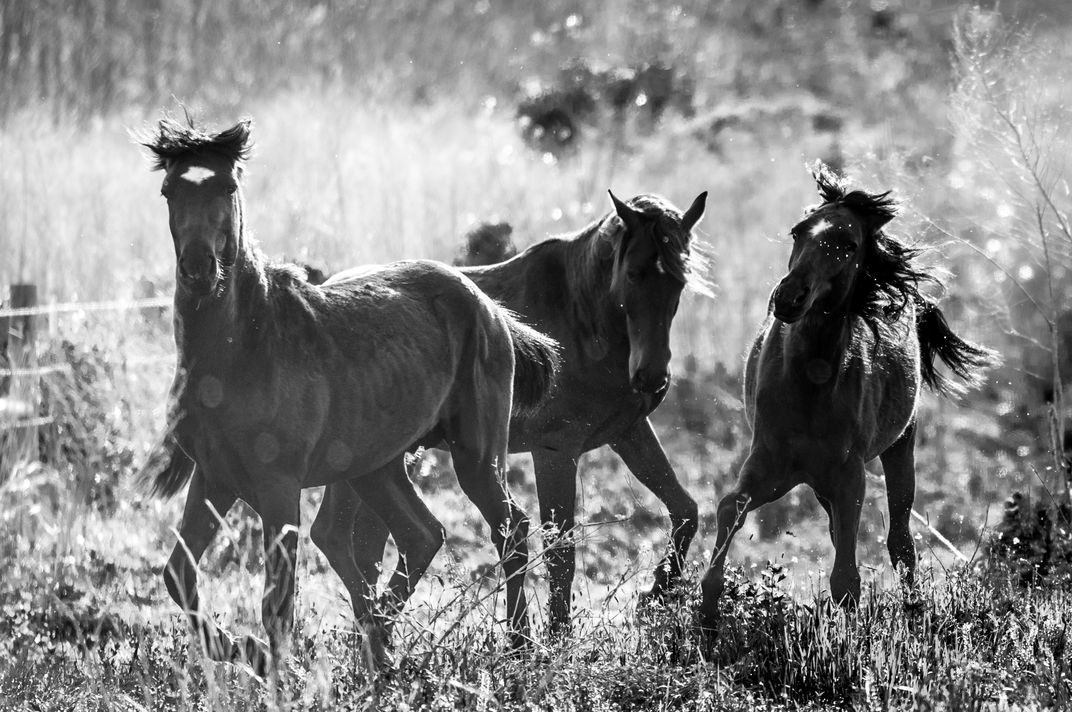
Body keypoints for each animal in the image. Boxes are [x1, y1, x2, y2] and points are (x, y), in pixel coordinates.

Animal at [141, 117, 557, 673]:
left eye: (228, 187)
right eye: (169, 190)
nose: (198, 268)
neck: (243, 350)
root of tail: (489, 307)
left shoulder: (277, 487)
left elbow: (277, 604)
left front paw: (274, 666)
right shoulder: (213, 478)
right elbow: (179, 576)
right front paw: (246, 651)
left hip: (475, 455)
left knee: (509, 527)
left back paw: (514, 644)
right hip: (377, 466)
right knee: (421, 535)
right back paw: (381, 648)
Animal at [317, 190, 707, 634]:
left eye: (678, 280)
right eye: (633, 274)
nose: (651, 377)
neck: (581, 317)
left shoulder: (629, 433)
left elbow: (685, 510)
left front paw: (657, 592)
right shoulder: (555, 452)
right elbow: (560, 550)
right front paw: (557, 634)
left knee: (363, 543)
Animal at [694, 167, 994, 630]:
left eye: (849, 245)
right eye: (798, 231)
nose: (789, 297)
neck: (808, 387)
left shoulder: (848, 475)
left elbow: (847, 573)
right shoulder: (769, 464)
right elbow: (731, 507)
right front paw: (707, 612)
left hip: (899, 448)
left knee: (900, 540)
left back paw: (914, 608)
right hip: (818, 482)